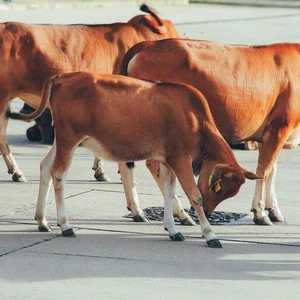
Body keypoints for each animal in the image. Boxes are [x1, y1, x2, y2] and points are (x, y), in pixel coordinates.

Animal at [8, 72, 262, 248]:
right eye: (218, 188)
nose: (209, 212)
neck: (195, 119)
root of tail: (63, 76)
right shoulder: (181, 160)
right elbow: (194, 196)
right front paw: (210, 234)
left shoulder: (168, 161)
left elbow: (169, 192)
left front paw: (173, 230)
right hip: (69, 138)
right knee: (58, 173)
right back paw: (65, 225)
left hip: (63, 140)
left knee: (45, 167)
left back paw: (42, 221)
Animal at [119, 37, 300, 225]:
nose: (207, 211)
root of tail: (148, 44)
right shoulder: (280, 128)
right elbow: (264, 172)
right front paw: (260, 213)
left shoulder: (269, 134)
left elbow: (272, 171)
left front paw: (274, 211)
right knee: (154, 165)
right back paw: (180, 213)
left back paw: (137, 211)